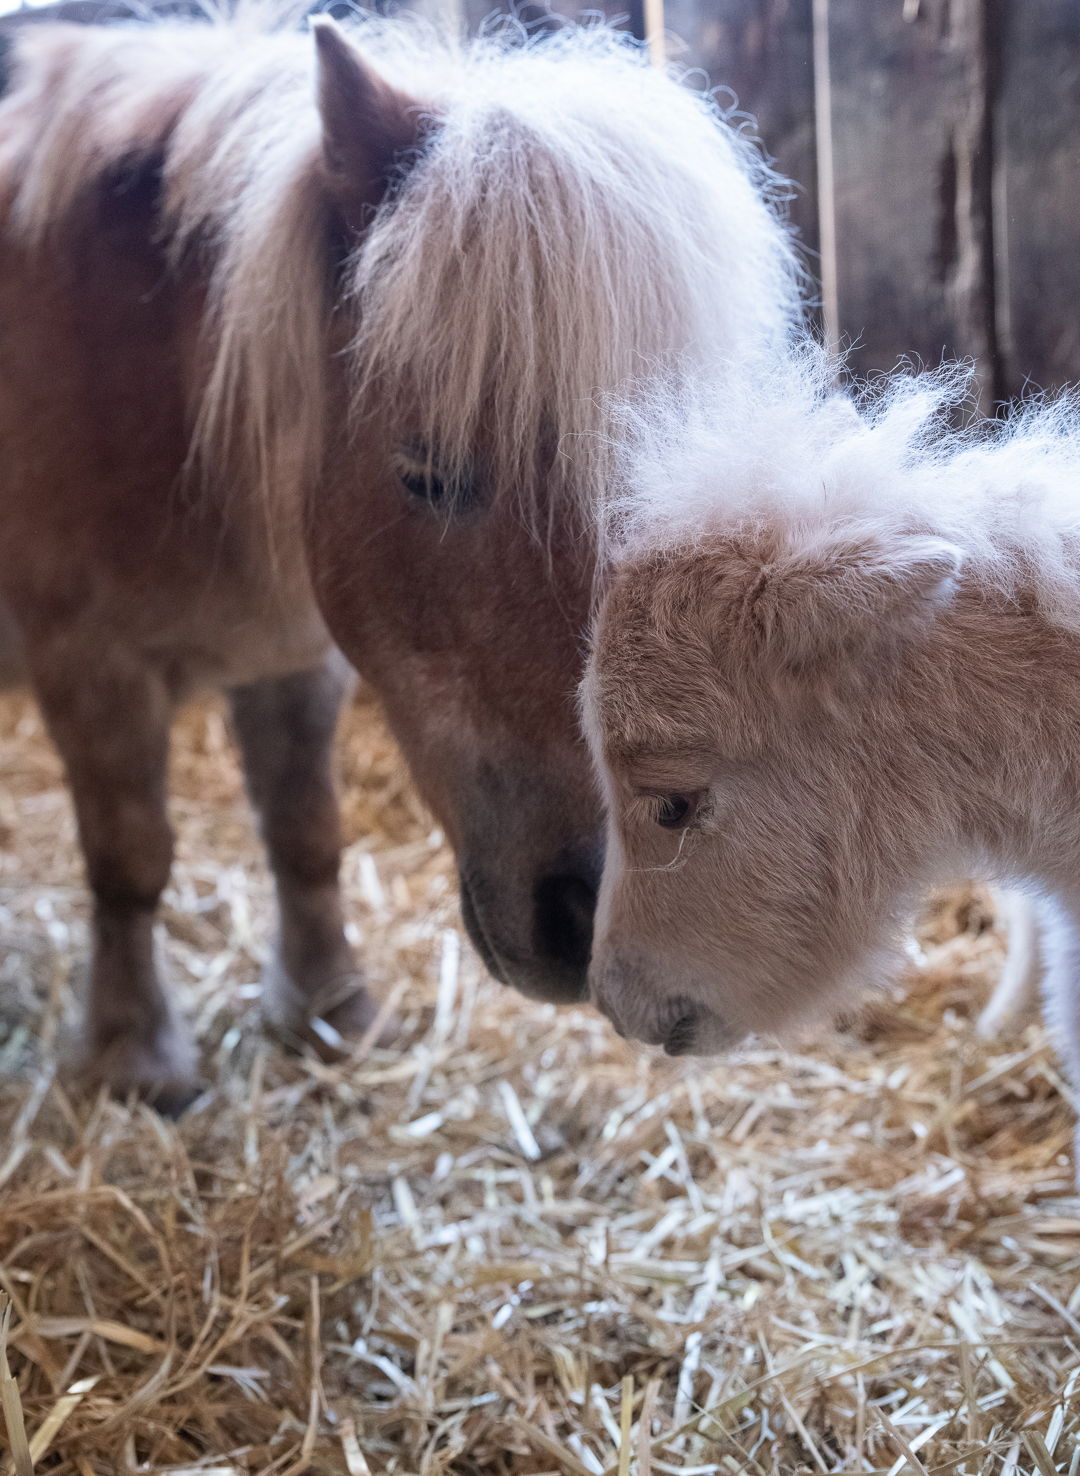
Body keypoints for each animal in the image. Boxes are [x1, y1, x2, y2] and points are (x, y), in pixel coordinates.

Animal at [0, 2, 799, 1107]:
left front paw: (329, 1010)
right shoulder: (91, 667)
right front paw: (133, 1058)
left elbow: (305, 834)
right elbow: (129, 860)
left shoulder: (297, 661)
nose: (596, 913)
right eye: (427, 472)